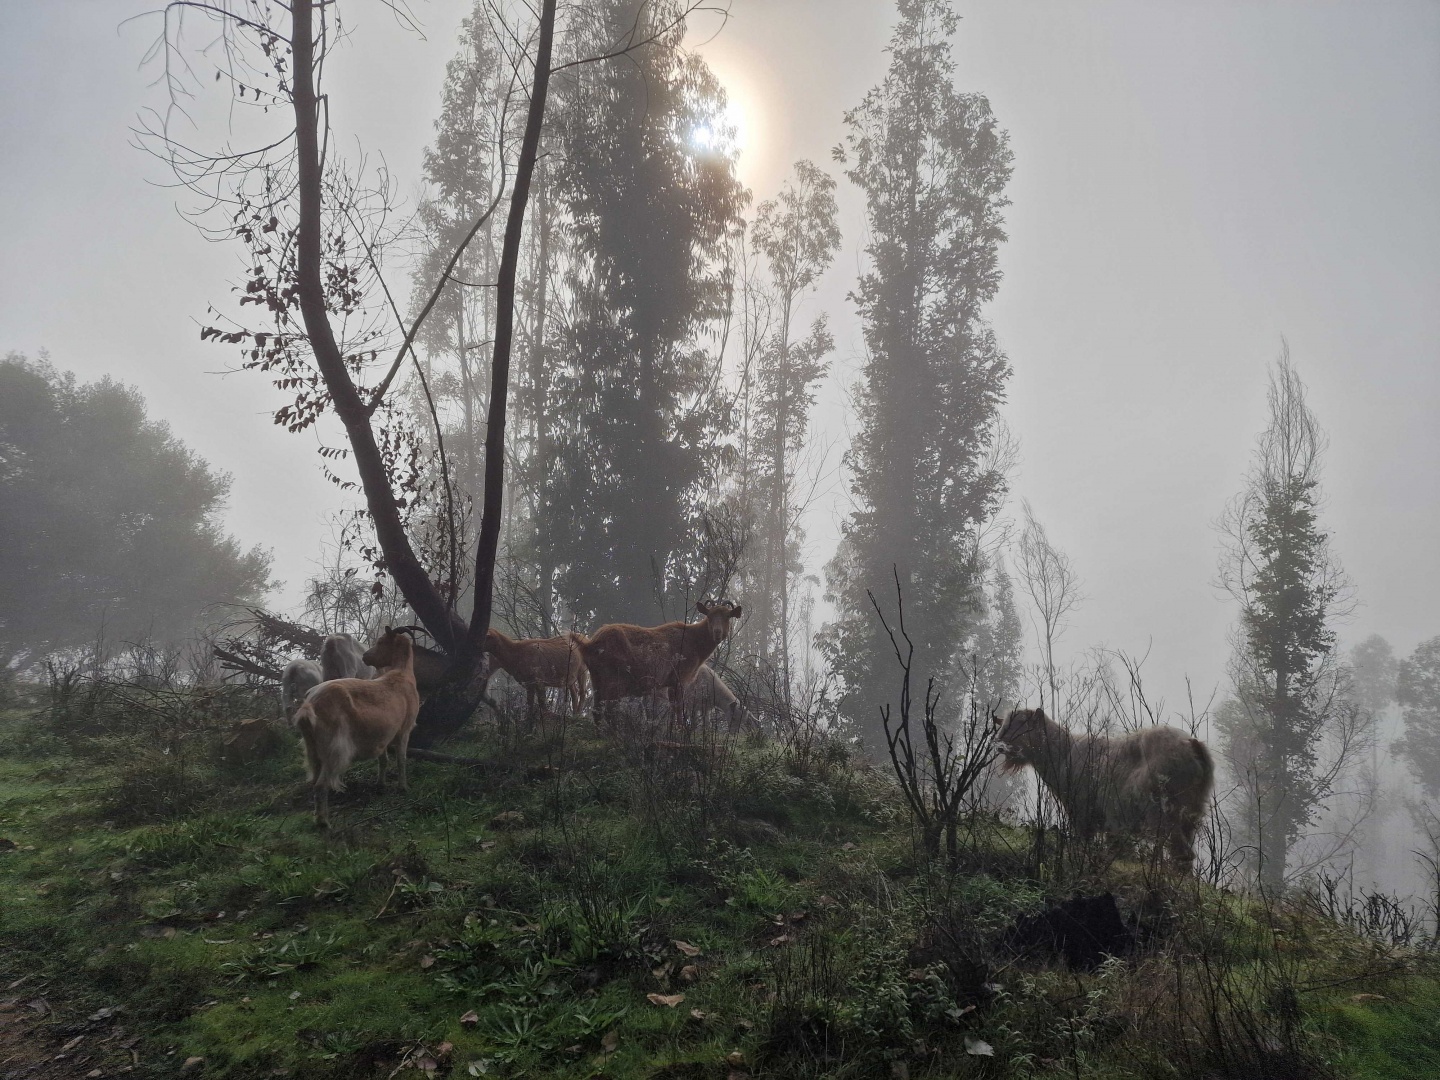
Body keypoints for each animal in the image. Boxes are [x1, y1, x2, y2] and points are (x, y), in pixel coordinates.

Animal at [290, 627, 420, 828]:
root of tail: (309, 705)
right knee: (321, 784)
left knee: (314, 781)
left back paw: (317, 816)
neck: (401, 674)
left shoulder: (382, 735)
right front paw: (403, 787)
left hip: (312, 748)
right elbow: (401, 760)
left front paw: (381, 785)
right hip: (333, 748)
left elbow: (383, 761)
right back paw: (323, 822)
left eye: (381, 641)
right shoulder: (404, 730)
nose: (366, 657)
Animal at [577, 601, 743, 729]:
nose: (717, 632)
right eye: (709, 615)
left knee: (597, 710)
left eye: (728, 616)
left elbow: (673, 708)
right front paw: (680, 730)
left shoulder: (669, 683)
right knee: (608, 710)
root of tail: (590, 644)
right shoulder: (680, 678)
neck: (693, 640)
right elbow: (679, 708)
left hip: (596, 679)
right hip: (613, 680)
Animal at [993, 707, 1215, 874]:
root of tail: (1192, 743)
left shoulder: (1084, 814)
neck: (1064, 753)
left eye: (1023, 723)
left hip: (1165, 813)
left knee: (1182, 852)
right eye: (1005, 724)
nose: (1000, 746)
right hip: (1191, 816)